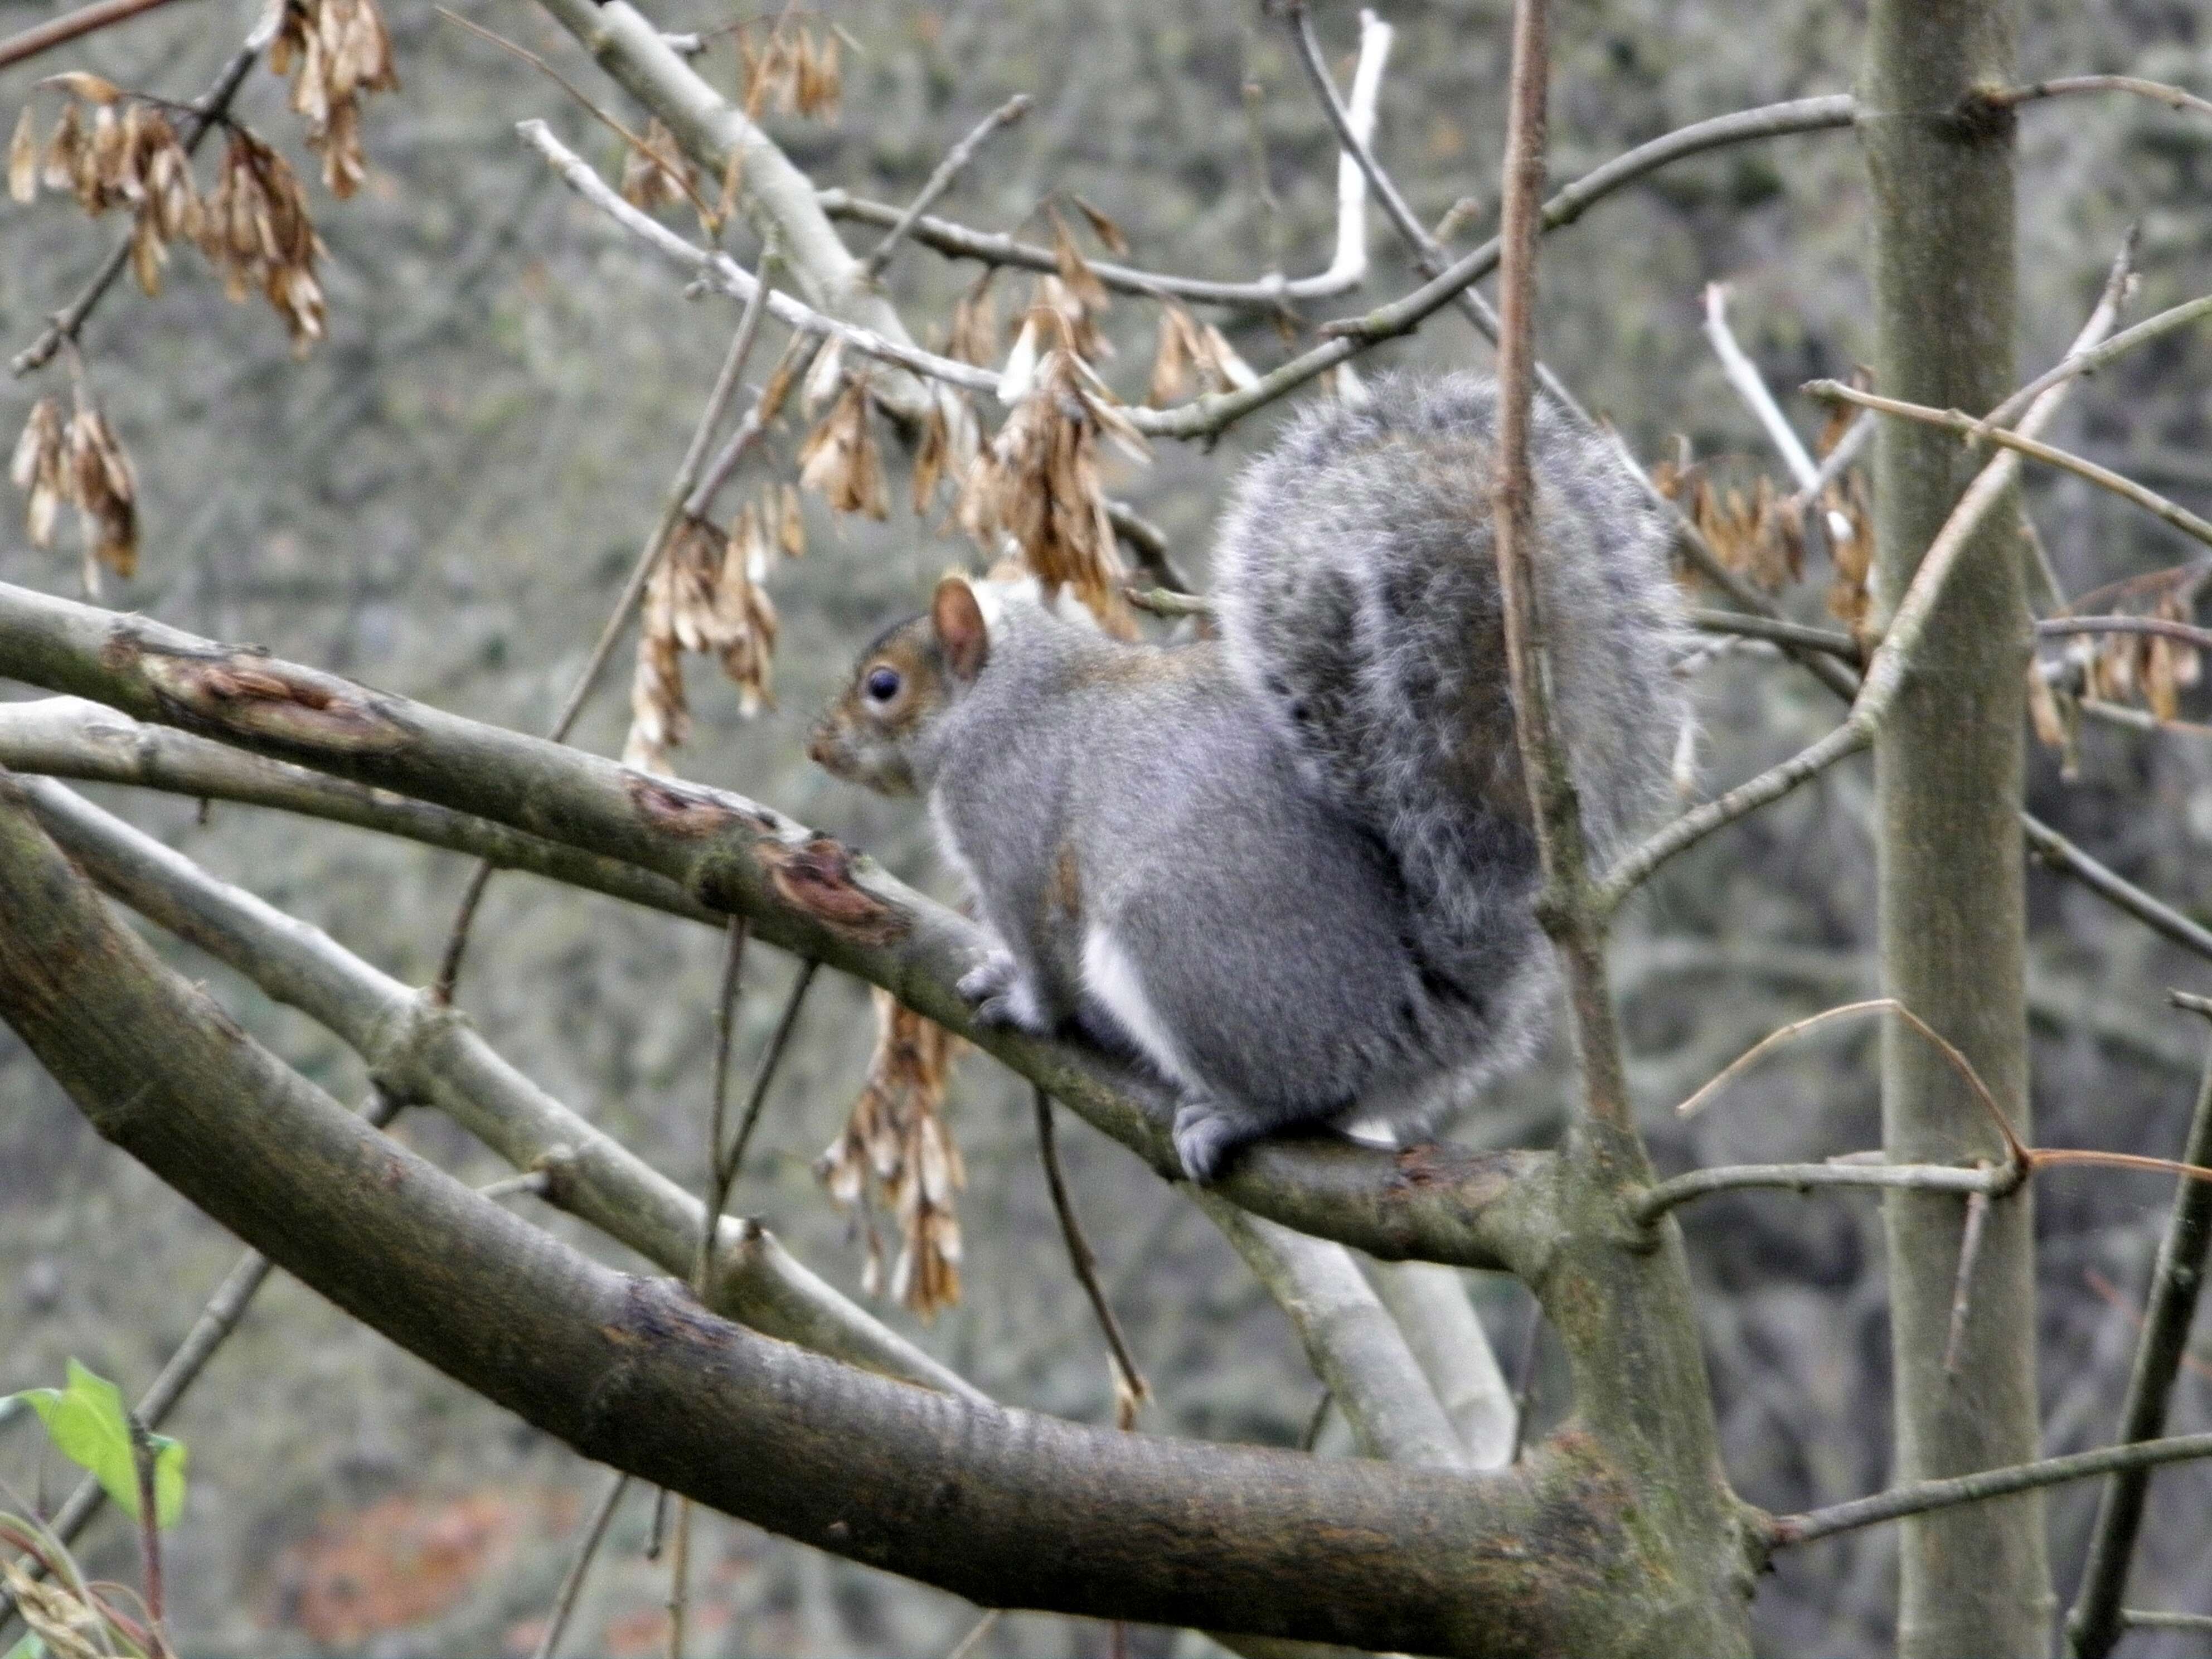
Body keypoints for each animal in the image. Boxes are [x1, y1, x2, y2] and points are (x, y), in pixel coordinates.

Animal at [814, 376, 1690, 1185]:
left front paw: (1026, 1002)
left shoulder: (1011, 831)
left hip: (1178, 942)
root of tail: (1421, 1019)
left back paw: (1234, 1114)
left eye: (884, 687)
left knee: (1292, 1090)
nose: (818, 746)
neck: (1010, 694)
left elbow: (1039, 951)